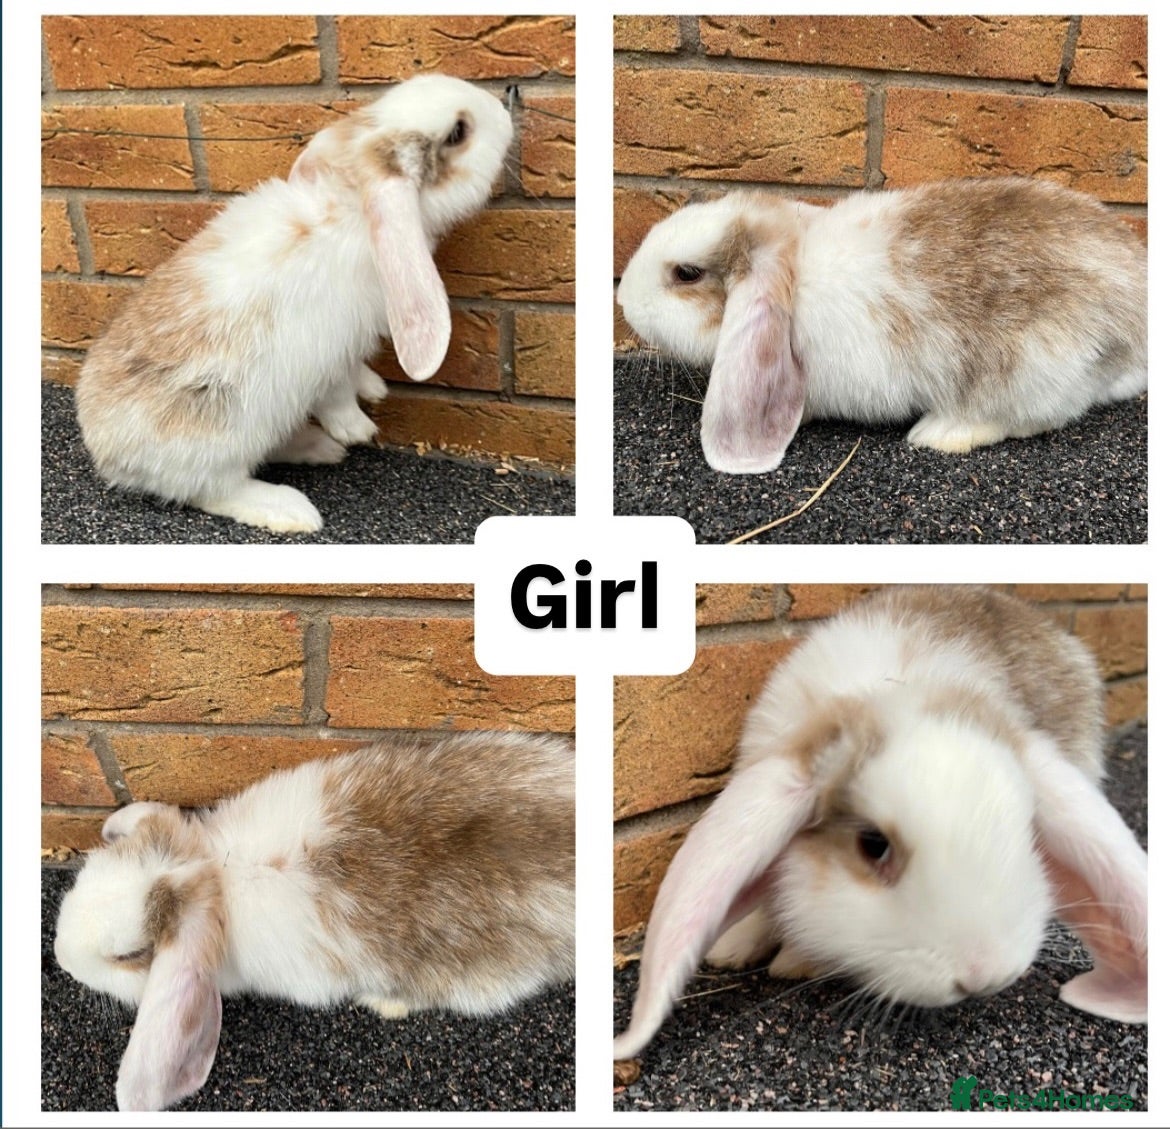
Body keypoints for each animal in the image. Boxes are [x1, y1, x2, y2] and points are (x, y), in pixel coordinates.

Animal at [74, 74, 514, 533]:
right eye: (458, 133)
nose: (504, 106)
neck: (354, 216)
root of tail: (106, 452)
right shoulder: (327, 353)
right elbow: (336, 394)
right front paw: (357, 429)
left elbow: (356, 375)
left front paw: (373, 389)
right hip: (218, 444)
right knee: (213, 489)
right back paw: (292, 506)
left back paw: (318, 447)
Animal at [616, 178, 1147, 474]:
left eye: (686, 273)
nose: (622, 300)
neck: (795, 276)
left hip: (1034, 368)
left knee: (1032, 417)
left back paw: (939, 432)